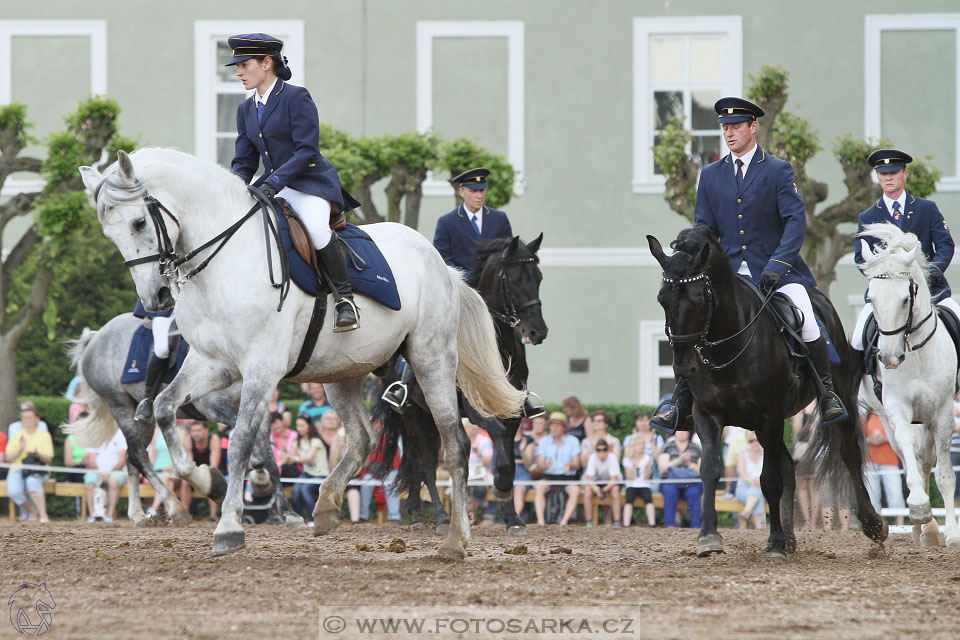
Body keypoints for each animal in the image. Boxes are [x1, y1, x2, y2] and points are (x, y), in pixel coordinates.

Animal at [66, 312, 304, 528]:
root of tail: (95, 337)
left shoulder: (259, 407)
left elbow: (270, 458)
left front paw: (288, 512)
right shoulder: (213, 407)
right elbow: (249, 442)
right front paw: (257, 473)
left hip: (141, 419)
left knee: (131, 457)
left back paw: (138, 515)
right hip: (120, 406)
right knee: (139, 456)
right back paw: (176, 508)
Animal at [372, 232, 548, 532]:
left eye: (539, 277)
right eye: (514, 279)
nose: (538, 331)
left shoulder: (512, 415)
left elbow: (508, 461)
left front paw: (512, 518)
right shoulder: (479, 413)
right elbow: (500, 456)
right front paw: (500, 496)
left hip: (429, 415)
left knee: (418, 461)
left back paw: (416, 513)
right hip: (413, 415)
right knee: (426, 462)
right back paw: (441, 517)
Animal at [648, 228, 888, 556]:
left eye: (698, 299)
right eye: (661, 299)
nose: (684, 368)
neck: (727, 345)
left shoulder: (769, 416)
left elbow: (770, 479)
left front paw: (773, 542)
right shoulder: (707, 413)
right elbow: (710, 469)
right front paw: (709, 536)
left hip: (837, 399)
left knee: (848, 453)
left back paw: (871, 524)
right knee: (788, 466)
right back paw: (789, 538)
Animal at [856, 222, 960, 548]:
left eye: (905, 298)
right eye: (872, 298)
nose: (889, 359)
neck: (914, 351)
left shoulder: (942, 412)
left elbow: (945, 474)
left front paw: (952, 533)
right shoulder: (896, 408)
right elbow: (908, 457)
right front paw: (918, 508)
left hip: (928, 417)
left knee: (926, 459)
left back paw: (932, 531)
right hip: (887, 418)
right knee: (908, 457)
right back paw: (922, 526)